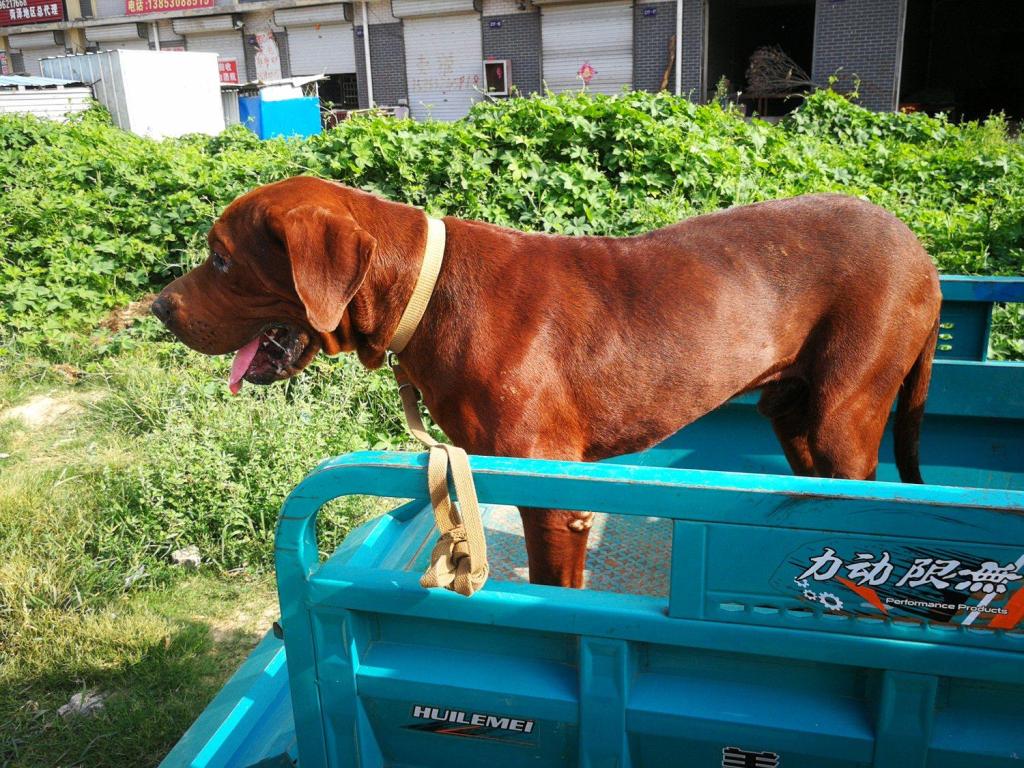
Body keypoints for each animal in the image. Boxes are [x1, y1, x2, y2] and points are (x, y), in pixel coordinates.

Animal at [151, 177, 942, 589]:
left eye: (221, 259)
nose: (157, 308)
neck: (426, 291)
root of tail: (919, 249)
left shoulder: (553, 495)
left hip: (844, 412)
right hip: (794, 412)